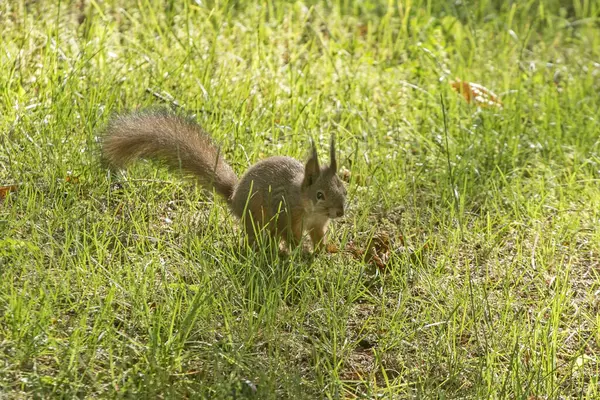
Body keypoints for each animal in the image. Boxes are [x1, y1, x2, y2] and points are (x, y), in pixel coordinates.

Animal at [102, 109, 346, 252]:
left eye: (344, 189)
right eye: (320, 195)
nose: (340, 212)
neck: (310, 207)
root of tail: (234, 197)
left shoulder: (318, 224)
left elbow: (318, 237)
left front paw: (323, 251)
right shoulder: (288, 215)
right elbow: (292, 236)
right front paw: (301, 251)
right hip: (255, 218)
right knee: (256, 237)